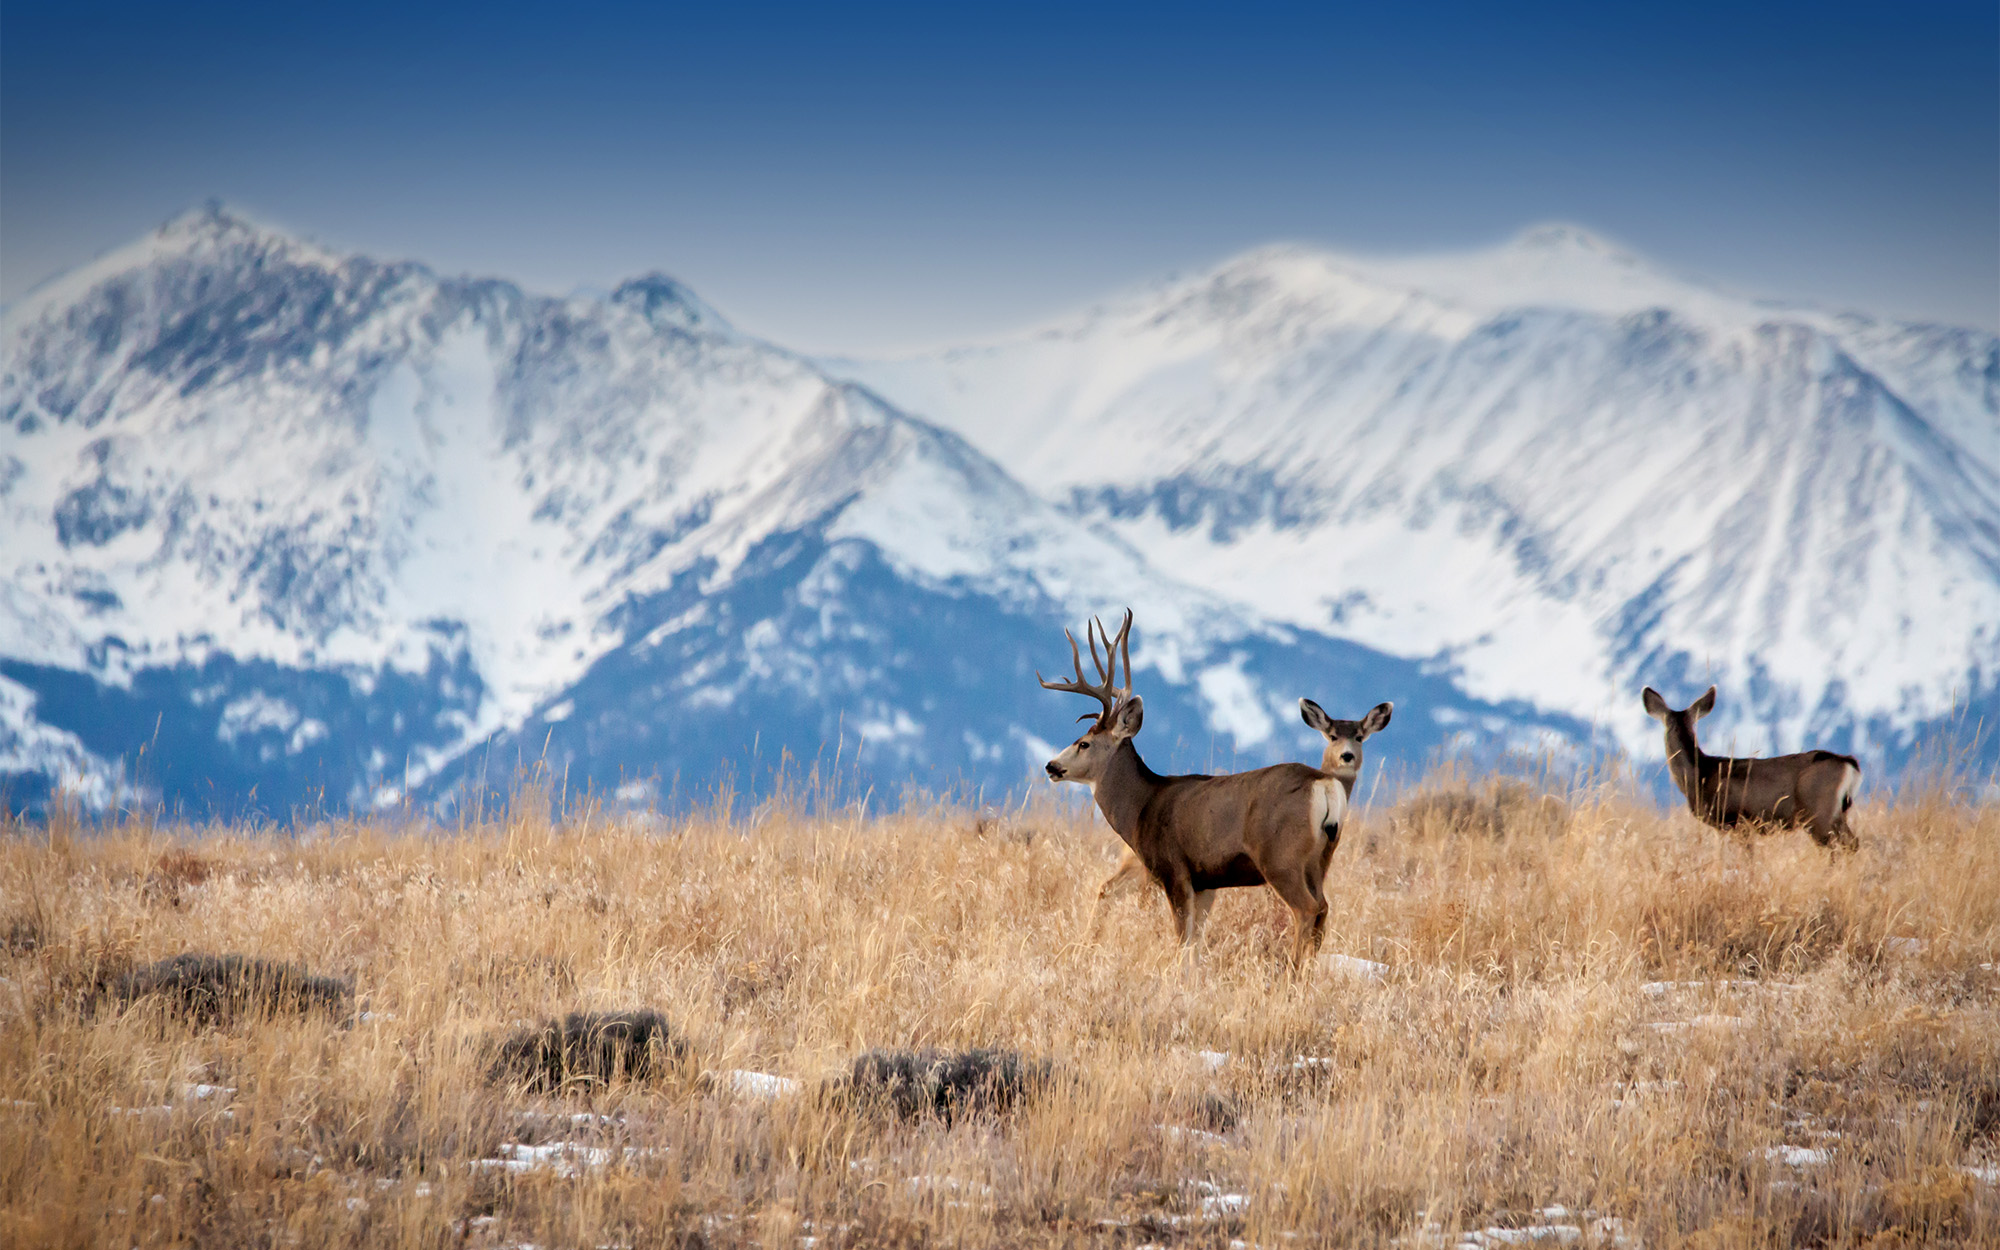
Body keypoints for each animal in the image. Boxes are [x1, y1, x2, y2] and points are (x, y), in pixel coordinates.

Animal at [1048, 608, 1344, 960]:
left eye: (1084, 743)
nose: (1051, 766)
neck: (1142, 806)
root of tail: (1324, 784)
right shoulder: (1206, 882)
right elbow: (1194, 942)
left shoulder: (1174, 870)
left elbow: (1181, 938)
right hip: (1320, 860)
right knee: (1324, 909)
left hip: (1281, 858)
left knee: (1307, 909)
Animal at [1640, 688, 1856, 852]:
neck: (1700, 774)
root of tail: (1848, 762)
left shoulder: (1736, 820)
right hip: (1837, 813)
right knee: (1852, 843)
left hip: (1818, 811)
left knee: (1834, 846)